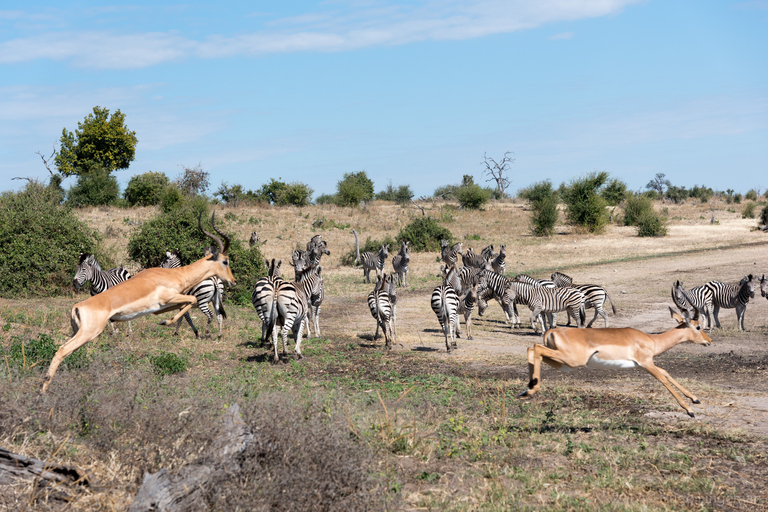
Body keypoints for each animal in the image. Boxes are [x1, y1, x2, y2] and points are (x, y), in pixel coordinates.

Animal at [41, 211, 234, 392]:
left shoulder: (164, 305)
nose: (233, 281)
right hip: (89, 333)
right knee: (61, 350)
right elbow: (190, 301)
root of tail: (77, 306)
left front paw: (167, 322)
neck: (177, 274)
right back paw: (43, 391)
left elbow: (181, 308)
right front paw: (166, 323)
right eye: (225, 261)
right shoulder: (170, 298)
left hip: (79, 333)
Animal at [520, 286, 712, 418]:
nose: (708, 341)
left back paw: (527, 390)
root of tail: (553, 331)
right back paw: (530, 390)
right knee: (535, 348)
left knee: (532, 349)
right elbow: (662, 378)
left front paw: (695, 398)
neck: (651, 340)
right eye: (698, 326)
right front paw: (690, 410)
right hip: (571, 360)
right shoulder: (646, 363)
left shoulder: (644, 364)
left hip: (564, 364)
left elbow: (665, 372)